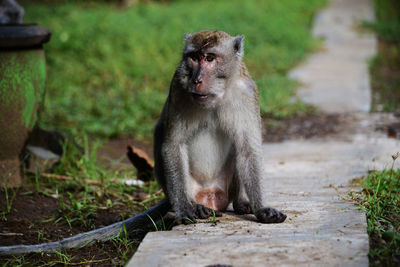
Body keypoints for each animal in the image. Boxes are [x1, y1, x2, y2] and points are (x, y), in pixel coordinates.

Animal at [154, 30, 288, 225]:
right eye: (194, 57)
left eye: (210, 58)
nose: (196, 80)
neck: (216, 96)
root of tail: (210, 194)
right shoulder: (178, 86)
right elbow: (173, 145)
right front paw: (184, 209)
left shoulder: (247, 93)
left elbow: (248, 149)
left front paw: (262, 208)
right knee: (159, 132)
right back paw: (193, 206)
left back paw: (240, 202)